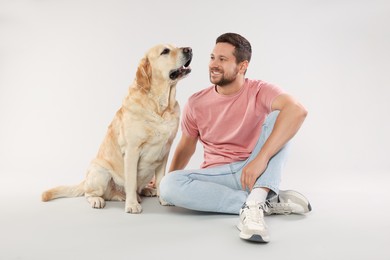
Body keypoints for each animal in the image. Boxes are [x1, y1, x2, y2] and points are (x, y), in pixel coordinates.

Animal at [42, 44, 193, 213]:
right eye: (165, 51)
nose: (189, 49)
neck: (160, 105)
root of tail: (85, 180)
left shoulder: (164, 151)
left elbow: (161, 179)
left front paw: (164, 199)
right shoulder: (132, 150)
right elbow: (131, 181)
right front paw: (132, 205)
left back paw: (146, 190)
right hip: (100, 172)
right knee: (92, 194)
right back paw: (102, 199)